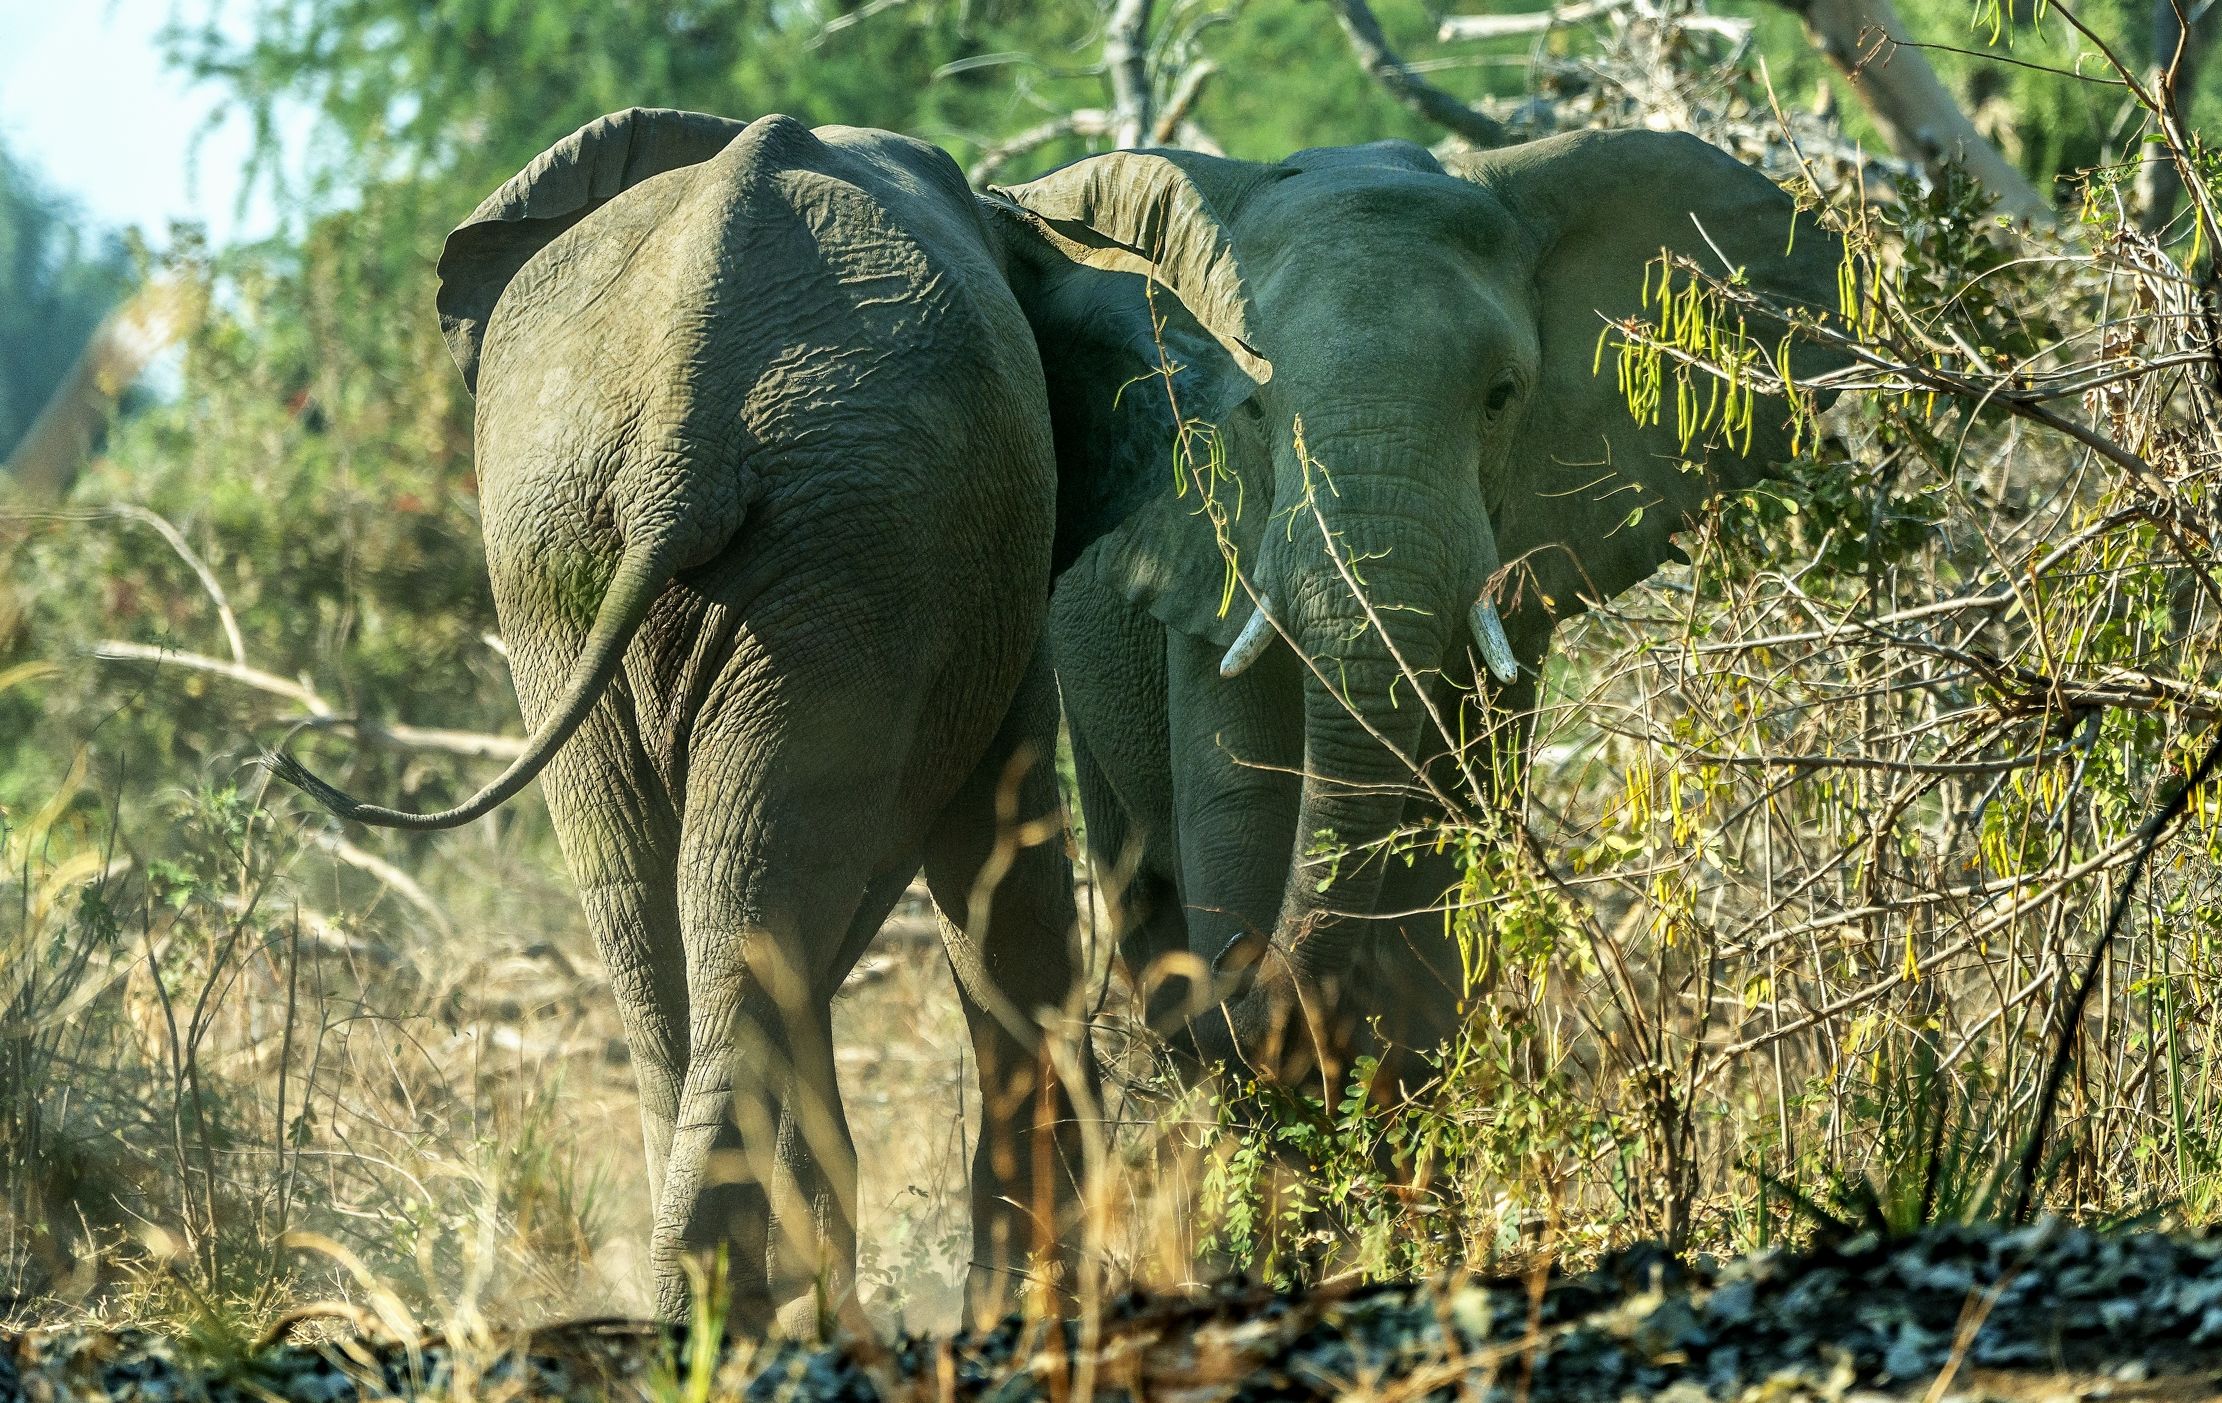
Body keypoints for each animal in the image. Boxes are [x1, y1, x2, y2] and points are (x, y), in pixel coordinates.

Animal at [266, 108, 1113, 1331]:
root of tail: (682, 429)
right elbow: (1005, 857)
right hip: (832, 546)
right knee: (738, 897)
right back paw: (751, 1313)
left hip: (590, 555)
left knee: (665, 900)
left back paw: (714, 1315)